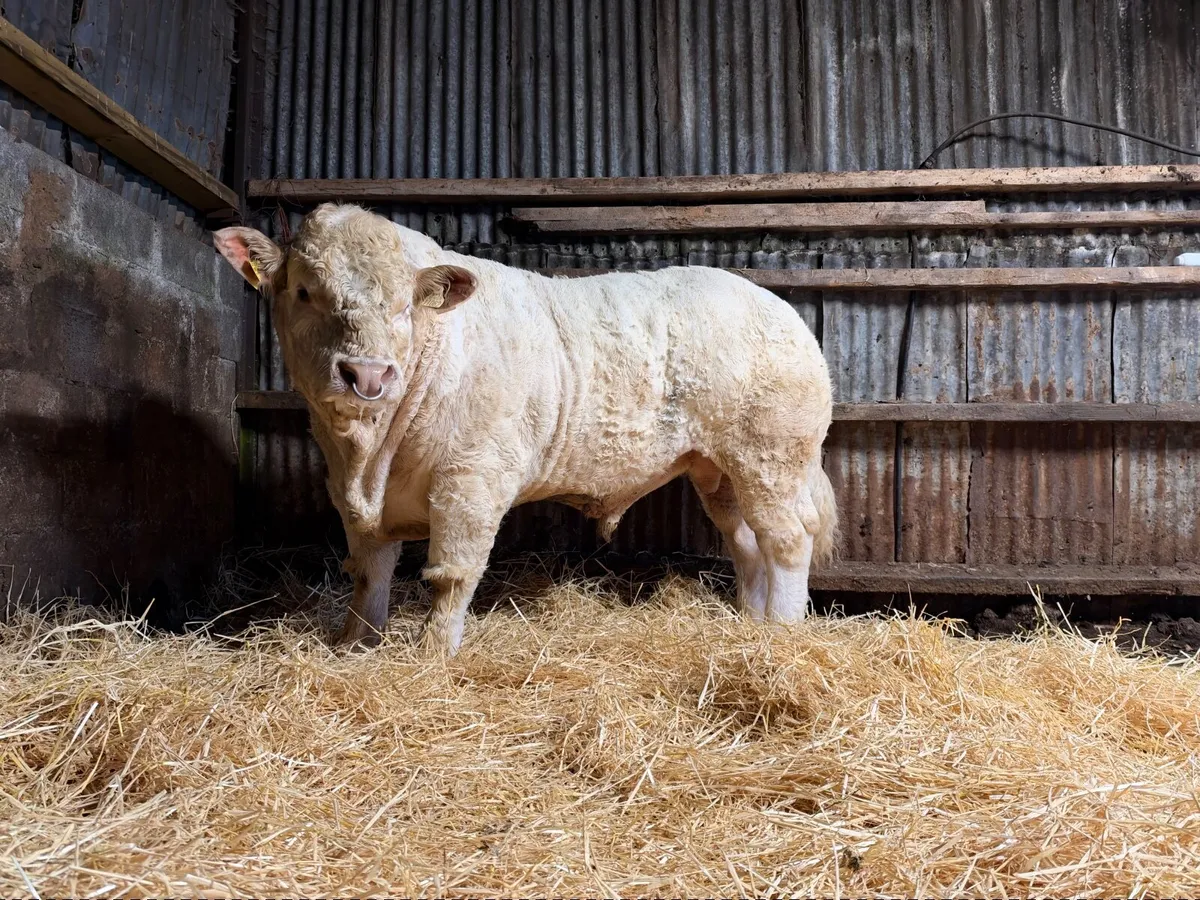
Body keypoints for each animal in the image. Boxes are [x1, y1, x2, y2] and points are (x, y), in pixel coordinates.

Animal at [214, 204, 838, 656]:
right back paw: (751, 624)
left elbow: (450, 576)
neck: (368, 459)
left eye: (404, 304)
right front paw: (353, 645)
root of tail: (777, 306)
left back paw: (782, 634)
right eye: (304, 291)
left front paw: (433, 657)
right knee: (746, 543)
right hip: (719, 472)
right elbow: (369, 574)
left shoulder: (473, 478)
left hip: (770, 455)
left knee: (786, 539)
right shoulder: (350, 498)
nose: (366, 374)